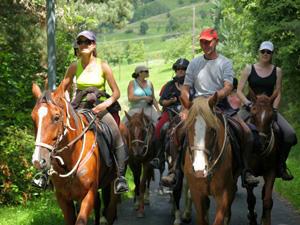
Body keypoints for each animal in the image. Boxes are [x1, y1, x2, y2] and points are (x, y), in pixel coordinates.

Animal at [31, 81, 122, 224]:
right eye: (33, 118)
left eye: (56, 117)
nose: (38, 160)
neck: (71, 158)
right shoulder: (63, 198)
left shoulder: (88, 194)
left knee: (111, 211)